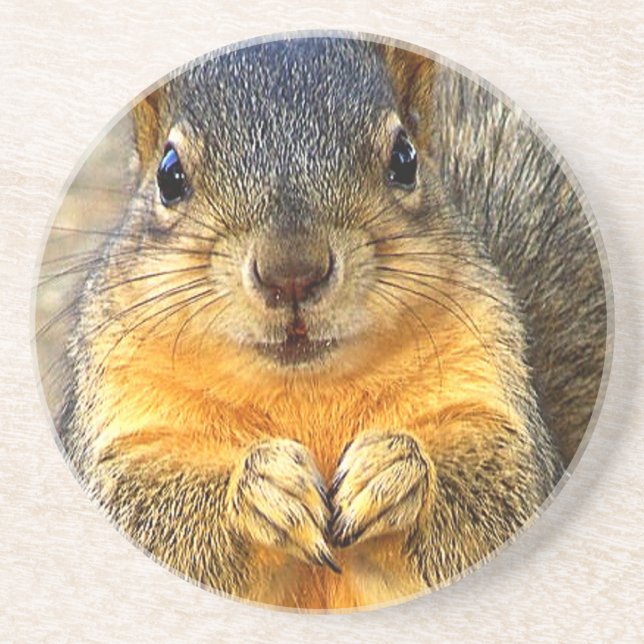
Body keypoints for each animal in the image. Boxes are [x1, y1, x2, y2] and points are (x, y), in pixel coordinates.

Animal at [54, 37, 608, 609]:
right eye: (169, 175)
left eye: (405, 159)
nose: (292, 272)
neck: (304, 390)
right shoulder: (122, 417)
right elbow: (141, 506)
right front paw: (262, 488)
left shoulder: (490, 390)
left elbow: (506, 493)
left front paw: (394, 471)